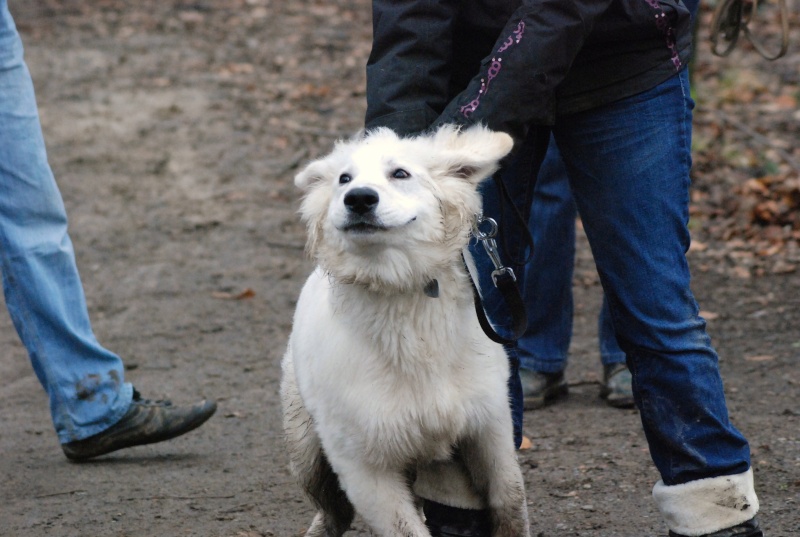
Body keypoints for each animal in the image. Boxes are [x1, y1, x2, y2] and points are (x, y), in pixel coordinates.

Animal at [282, 123, 532, 532]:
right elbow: (405, 529)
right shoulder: (364, 466)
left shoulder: (488, 427)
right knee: (333, 512)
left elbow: (510, 504)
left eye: (400, 173)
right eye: (344, 179)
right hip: (305, 447)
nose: (359, 198)